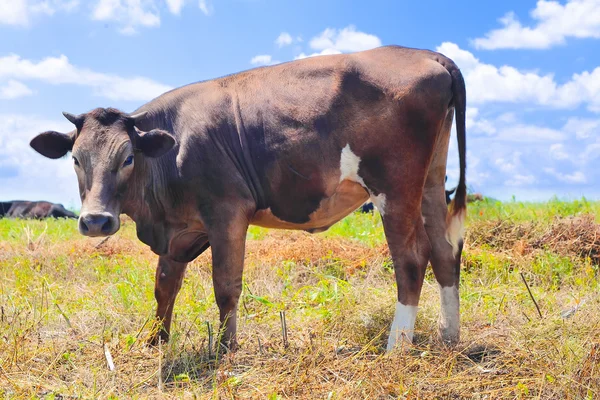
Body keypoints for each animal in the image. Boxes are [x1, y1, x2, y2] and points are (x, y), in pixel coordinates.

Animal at [30, 47, 466, 352]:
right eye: (75, 158)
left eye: (128, 158)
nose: (95, 221)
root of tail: (425, 53)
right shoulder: (177, 230)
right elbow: (164, 286)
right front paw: (155, 340)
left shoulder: (226, 213)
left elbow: (225, 285)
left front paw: (226, 348)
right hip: (430, 180)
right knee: (445, 252)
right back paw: (449, 336)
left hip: (395, 187)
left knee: (412, 259)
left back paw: (397, 346)